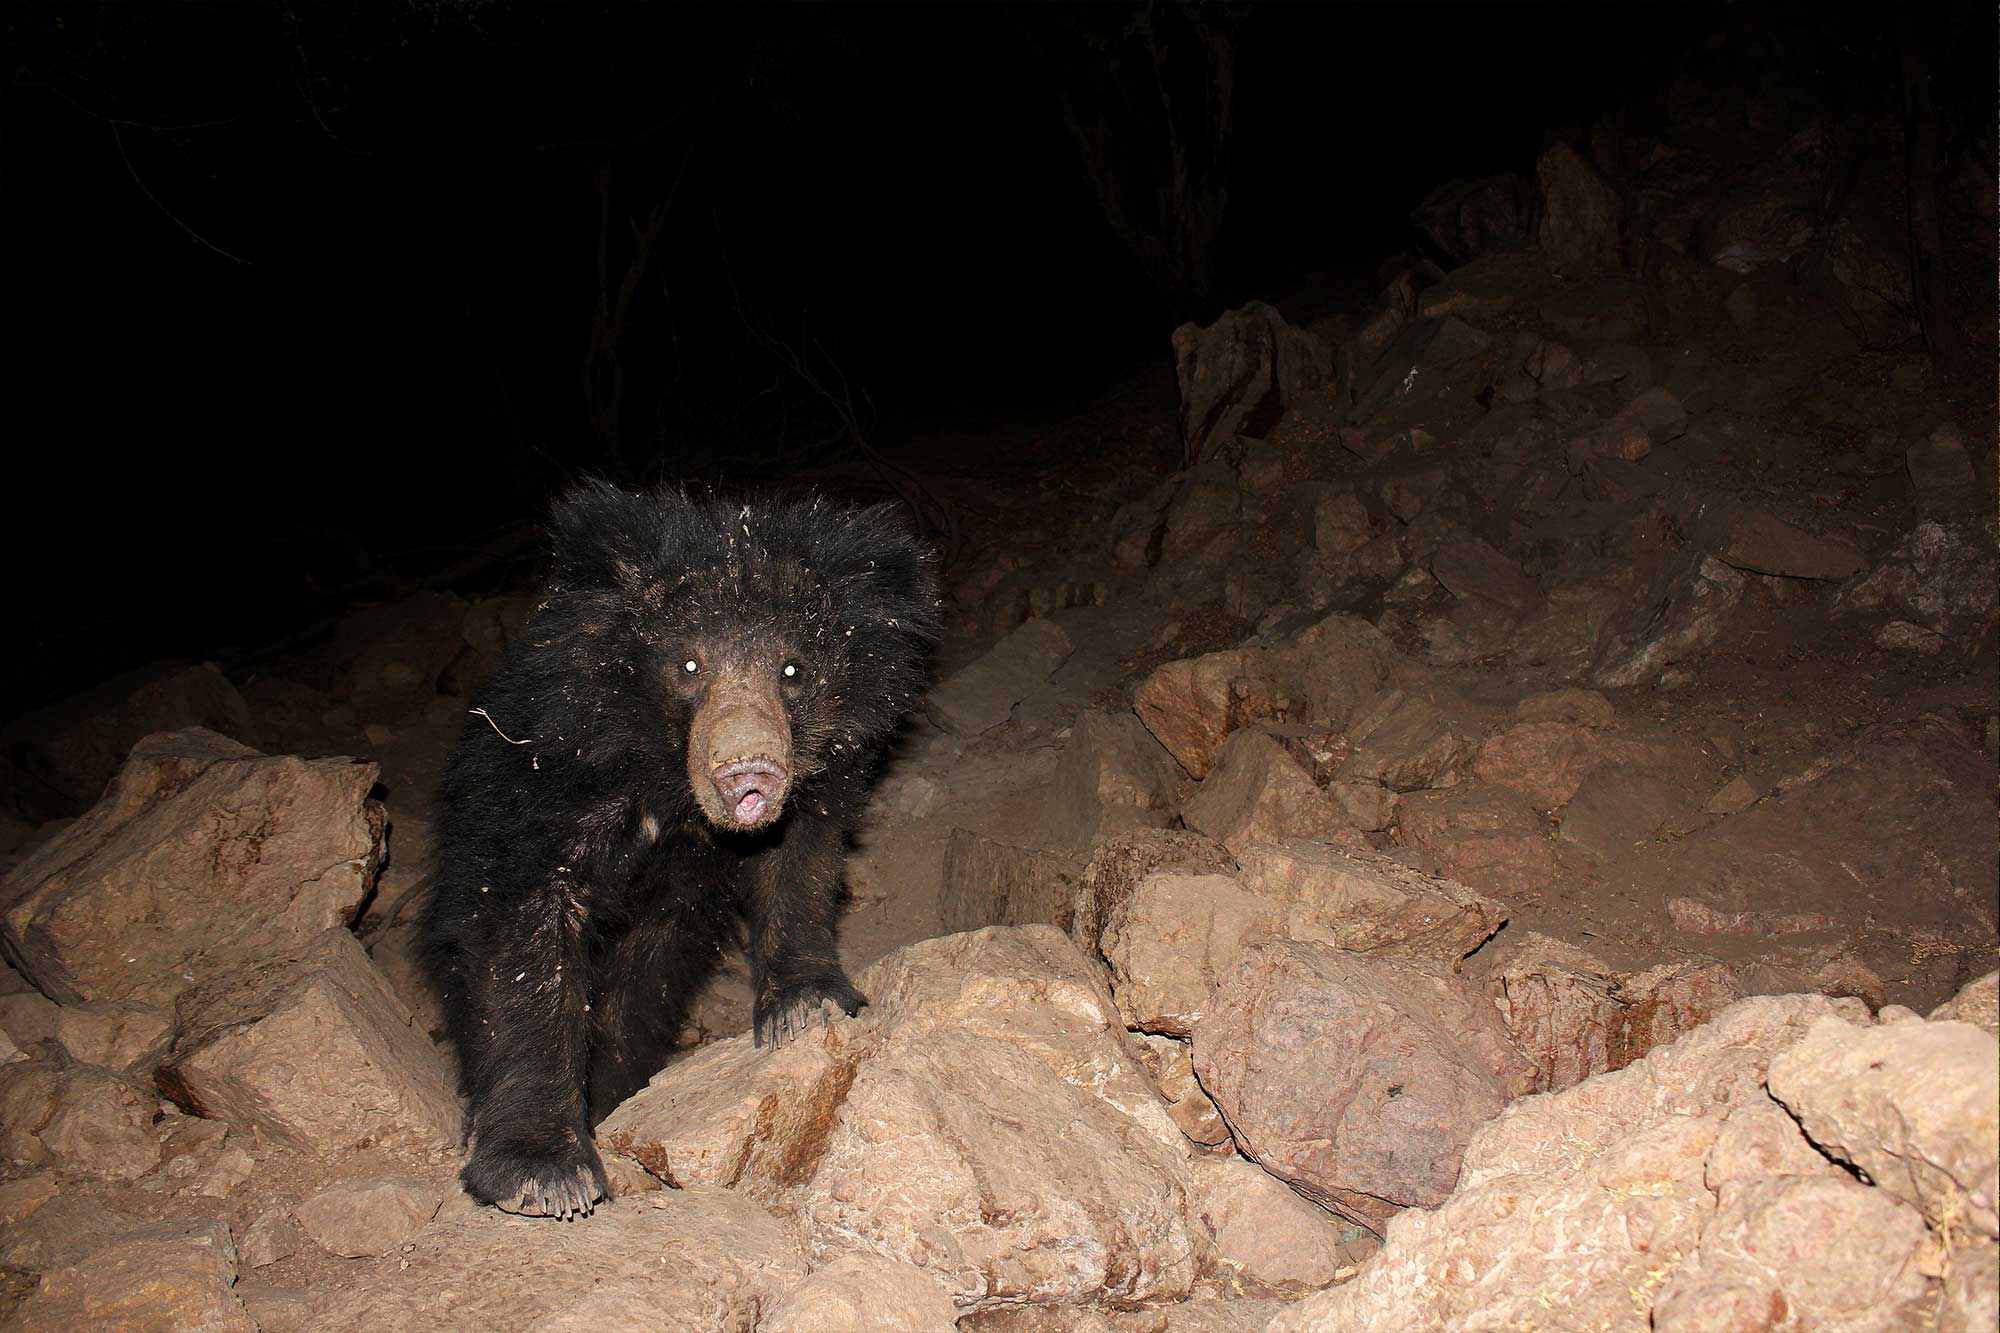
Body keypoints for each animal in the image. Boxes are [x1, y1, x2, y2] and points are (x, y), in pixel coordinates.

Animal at [422, 480, 936, 1216]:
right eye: (689, 665)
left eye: (792, 670)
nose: (750, 771)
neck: (669, 788)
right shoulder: (541, 790)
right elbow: (522, 948)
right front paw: (544, 1173)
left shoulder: (812, 791)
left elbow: (798, 861)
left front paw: (806, 1006)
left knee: (643, 992)